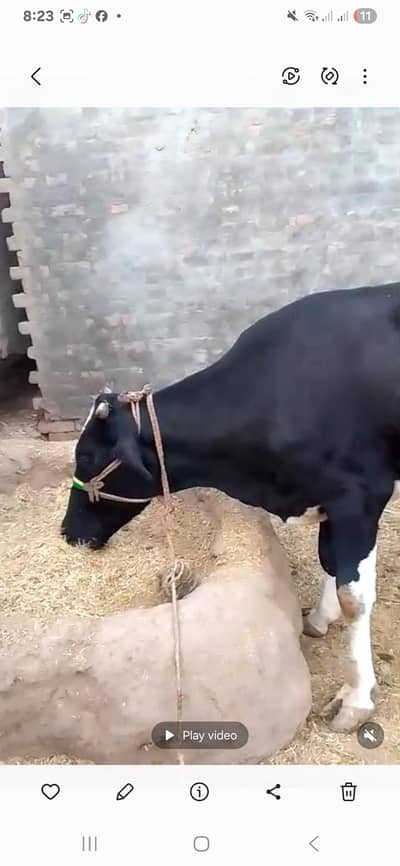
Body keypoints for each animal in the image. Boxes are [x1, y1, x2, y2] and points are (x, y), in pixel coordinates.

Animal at [61, 282, 400, 733]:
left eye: (85, 457)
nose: (67, 531)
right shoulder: (333, 498)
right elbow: (333, 564)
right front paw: (319, 618)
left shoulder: (361, 494)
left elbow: (355, 596)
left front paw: (356, 698)